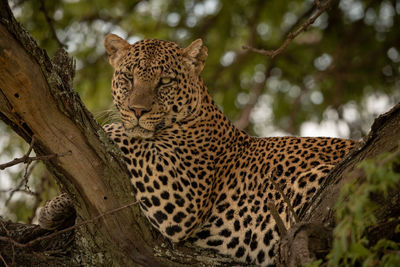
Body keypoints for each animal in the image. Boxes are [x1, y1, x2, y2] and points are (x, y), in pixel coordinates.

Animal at [40, 34, 358, 266]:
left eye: (165, 81)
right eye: (128, 77)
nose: (138, 110)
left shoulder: (182, 194)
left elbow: (125, 134)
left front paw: (110, 127)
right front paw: (52, 209)